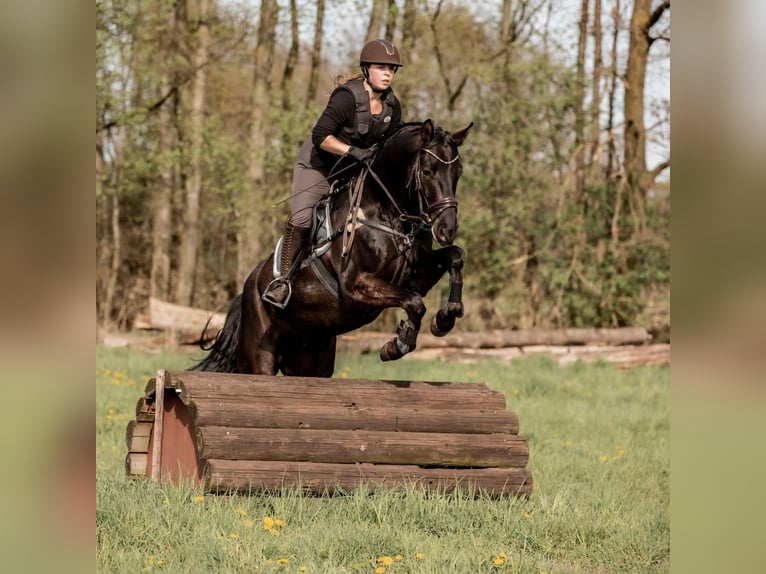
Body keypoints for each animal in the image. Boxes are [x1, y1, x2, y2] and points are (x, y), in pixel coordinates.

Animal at [192, 118, 474, 378]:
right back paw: (277, 291)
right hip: (258, 359)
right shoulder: (357, 285)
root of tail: (247, 291)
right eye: (427, 170)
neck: (387, 212)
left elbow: (455, 256)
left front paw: (446, 318)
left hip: (312, 360)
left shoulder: (415, 277)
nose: (447, 229)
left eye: (458, 172)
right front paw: (397, 345)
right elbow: (414, 302)